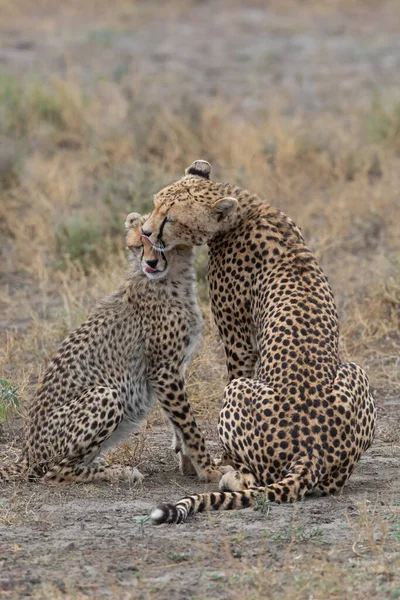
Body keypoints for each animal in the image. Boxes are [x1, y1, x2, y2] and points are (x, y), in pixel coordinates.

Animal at [0, 213, 222, 486]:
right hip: (105, 394)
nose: (150, 263)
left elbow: (178, 424)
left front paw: (190, 464)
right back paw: (120, 471)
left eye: (159, 243)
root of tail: (26, 454)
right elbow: (189, 424)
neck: (173, 278)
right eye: (138, 245)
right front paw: (210, 470)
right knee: (57, 472)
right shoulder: (164, 371)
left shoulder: (171, 370)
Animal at [141, 161, 378, 524]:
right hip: (356, 371)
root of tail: (311, 451)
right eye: (155, 205)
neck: (245, 209)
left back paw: (231, 476)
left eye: (171, 218)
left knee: (257, 478)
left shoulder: (238, 340)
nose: (145, 232)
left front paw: (214, 462)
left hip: (238, 392)